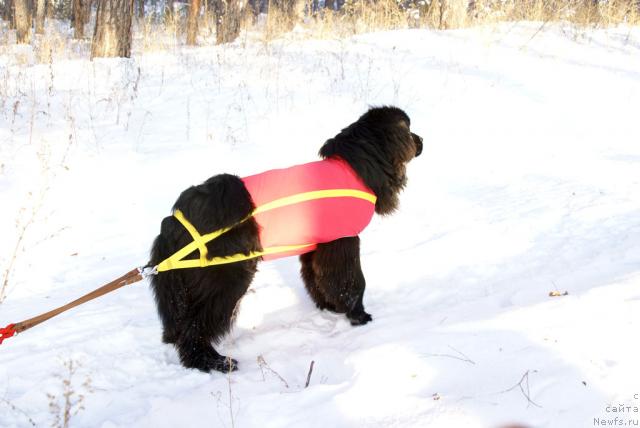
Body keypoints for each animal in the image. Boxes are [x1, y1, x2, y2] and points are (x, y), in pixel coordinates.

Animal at [148, 106, 422, 372]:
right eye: (408, 129)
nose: (421, 140)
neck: (357, 165)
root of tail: (176, 221)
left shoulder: (317, 245)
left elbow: (318, 279)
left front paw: (330, 307)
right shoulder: (343, 241)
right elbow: (352, 282)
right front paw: (359, 316)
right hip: (226, 277)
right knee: (195, 326)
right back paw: (210, 362)